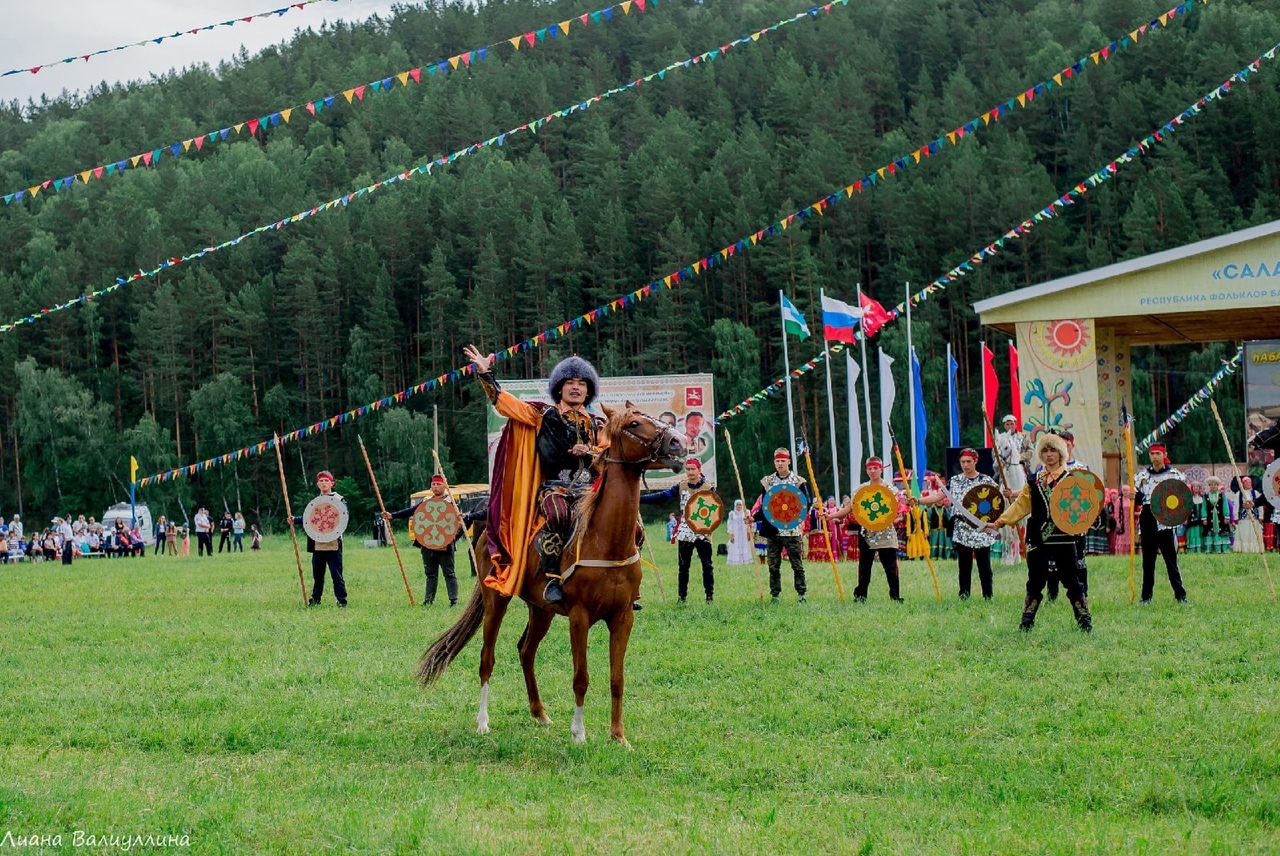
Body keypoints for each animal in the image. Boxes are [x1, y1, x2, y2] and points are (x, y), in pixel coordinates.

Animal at [417, 401, 680, 742]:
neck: (604, 538)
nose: (677, 443)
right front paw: (579, 734)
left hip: (541, 610)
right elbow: (581, 677)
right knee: (487, 659)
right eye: (634, 424)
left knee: (525, 651)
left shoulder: (623, 617)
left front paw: (618, 736)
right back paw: (483, 721)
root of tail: (488, 534)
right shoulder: (579, 617)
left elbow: (617, 678)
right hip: (495, 601)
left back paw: (539, 713)